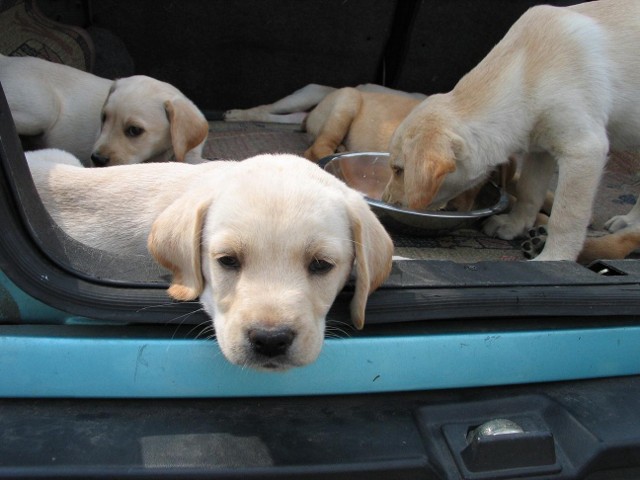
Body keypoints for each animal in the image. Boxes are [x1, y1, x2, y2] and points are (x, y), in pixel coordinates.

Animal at [382, 0, 636, 262]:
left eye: (399, 170)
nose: (385, 200)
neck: (526, 73)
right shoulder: (540, 150)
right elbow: (528, 191)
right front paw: (515, 225)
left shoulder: (584, 150)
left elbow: (567, 214)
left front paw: (554, 258)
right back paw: (626, 220)